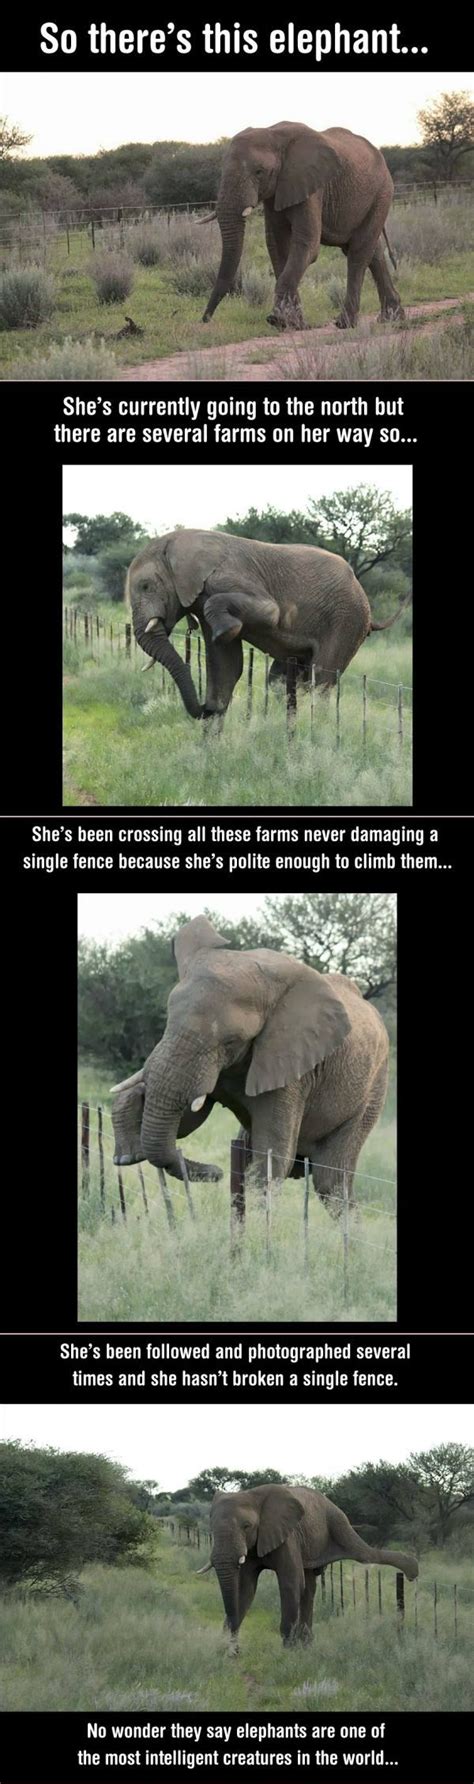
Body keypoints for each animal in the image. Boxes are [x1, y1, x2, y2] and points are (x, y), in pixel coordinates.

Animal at [110, 913, 388, 1205]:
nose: (216, 1172)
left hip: (372, 1091)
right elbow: (186, 1121)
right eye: (168, 1021)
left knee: (330, 1183)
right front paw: (127, 1153)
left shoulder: (290, 1066)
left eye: (231, 1041)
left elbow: (271, 1161)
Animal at [126, 524, 408, 720]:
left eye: (146, 586)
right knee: (280, 681)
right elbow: (226, 666)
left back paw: (319, 730)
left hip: (347, 621)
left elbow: (270, 612)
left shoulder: (226, 578)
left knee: (321, 680)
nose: (206, 709)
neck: (176, 544)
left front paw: (226, 631)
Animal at [197, 1484, 416, 1648]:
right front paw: (227, 1648)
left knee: (363, 1554)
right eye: (211, 1528)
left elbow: (290, 1583)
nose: (235, 1648)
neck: (253, 1495)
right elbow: (245, 1588)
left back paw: (412, 1569)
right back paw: (306, 1643)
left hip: (336, 1521)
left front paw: (288, 1650)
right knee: (309, 1587)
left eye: (247, 1526)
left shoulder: (287, 1536)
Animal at [199, 120, 404, 333]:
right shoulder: (277, 190)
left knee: (358, 251)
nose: (205, 319)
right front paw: (295, 324)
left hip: (382, 193)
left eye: (259, 172)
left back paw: (345, 324)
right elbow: (276, 245)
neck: (273, 134)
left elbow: (307, 244)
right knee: (372, 251)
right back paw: (391, 319)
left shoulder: (311, 186)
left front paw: (278, 320)